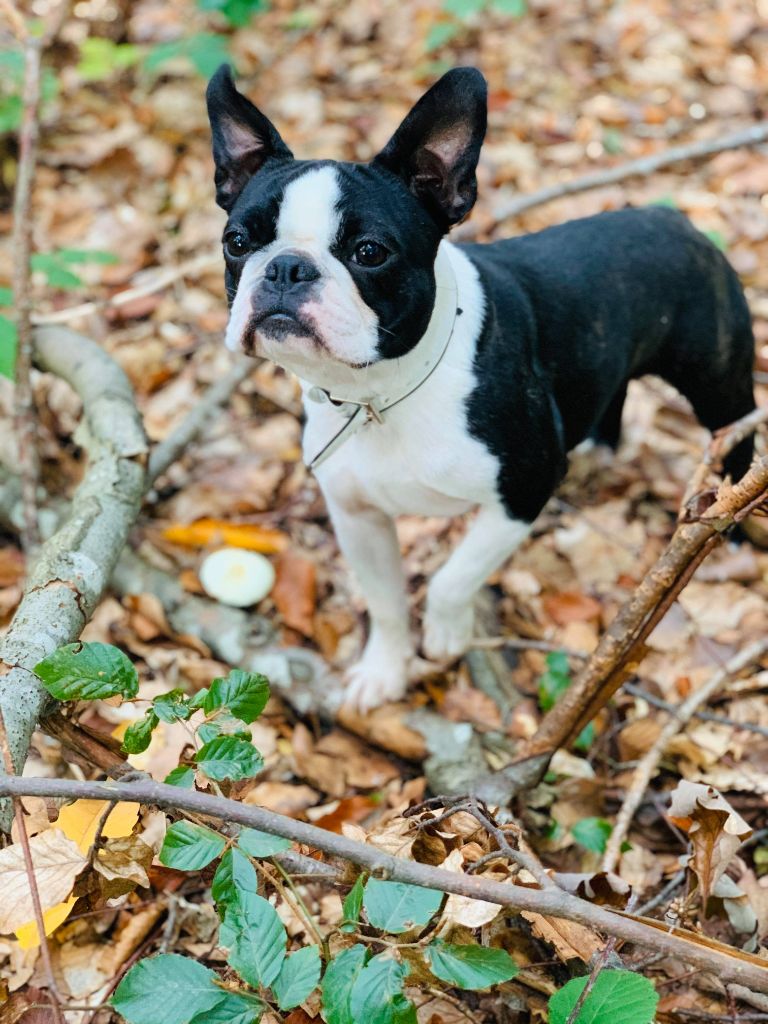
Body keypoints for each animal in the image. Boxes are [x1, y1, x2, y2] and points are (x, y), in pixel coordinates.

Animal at [207, 64, 761, 712]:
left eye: (370, 252)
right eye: (237, 242)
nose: (287, 267)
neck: (383, 394)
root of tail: (675, 217)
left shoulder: (521, 492)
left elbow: (451, 578)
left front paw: (447, 636)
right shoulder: (357, 516)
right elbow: (386, 601)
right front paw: (383, 672)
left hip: (716, 382)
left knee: (738, 437)